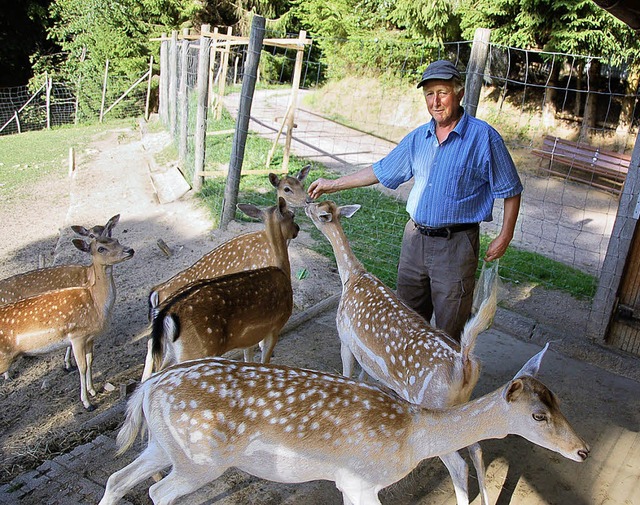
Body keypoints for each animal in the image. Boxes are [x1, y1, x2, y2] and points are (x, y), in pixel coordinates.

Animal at [0, 233, 133, 410]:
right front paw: (87, 403)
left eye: (116, 240)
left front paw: (93, 390)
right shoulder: (76, 336)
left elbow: (90, 361)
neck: (97, 304)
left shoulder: (89, 337)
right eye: (101, 248)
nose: (130, 250)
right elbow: (82, 367)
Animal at [99, 342, 592, 504]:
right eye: (538, 414)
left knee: (118, 479)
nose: (584, 450)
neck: (411, 438)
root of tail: (148, 388)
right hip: (199, 458)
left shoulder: (350, 485)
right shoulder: (359, 480)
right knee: (158, 493)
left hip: (163, 446)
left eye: (560, 401)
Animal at [139, 199, 298, 380]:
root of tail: (165, 313)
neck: (282, 270)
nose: (298, 229)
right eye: (292, 215)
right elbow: (265, 360)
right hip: (198, 350)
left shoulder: (249, 336)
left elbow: (249, 358)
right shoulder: (276, 326)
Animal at [304, 200, 500, 504]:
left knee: (459, 464)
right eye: (323, 203)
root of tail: (464, 362)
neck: (351, 277)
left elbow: (348, 372)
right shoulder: (367, 357)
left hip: (433, 404)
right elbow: (364, 377)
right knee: (477, 448)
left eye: (321, 212)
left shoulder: (345, 337)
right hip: (461, 403)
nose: (306, 204)